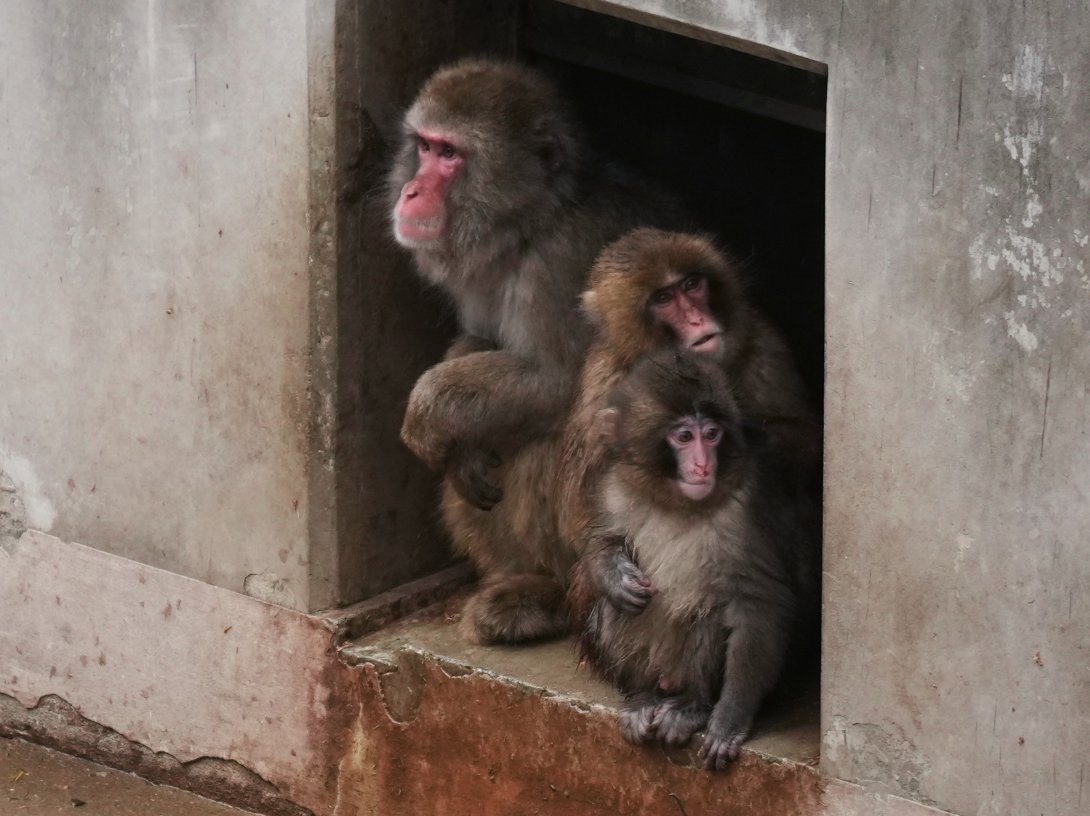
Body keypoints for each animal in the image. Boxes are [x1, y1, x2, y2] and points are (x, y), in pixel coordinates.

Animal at [389, 58, 682, 644]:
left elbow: (561, 384)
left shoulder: (564, 263)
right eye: (426, 146)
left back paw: (550, 597)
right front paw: (462, 446)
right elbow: (481, 341)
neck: (531, 224)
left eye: (450, 155)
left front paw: (428, 411)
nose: (410, 190)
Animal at [556, 227, 819, 559]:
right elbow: (578, 518)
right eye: (664, 298)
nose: (697, 319)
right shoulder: (602, 383)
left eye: (692, 285)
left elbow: (806, 441)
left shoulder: (762, 343)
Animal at [569, 349, 820, 770]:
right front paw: (613, 574)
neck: (676, 502)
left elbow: (759, 602)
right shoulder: (614, 486)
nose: (703, 465)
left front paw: (730, 718)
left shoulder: (746, 509)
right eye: (684, 437)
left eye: (712, 434)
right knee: (614, 610)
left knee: (709, 614)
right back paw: (643, 697)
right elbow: (599, 541)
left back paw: (692, 705)